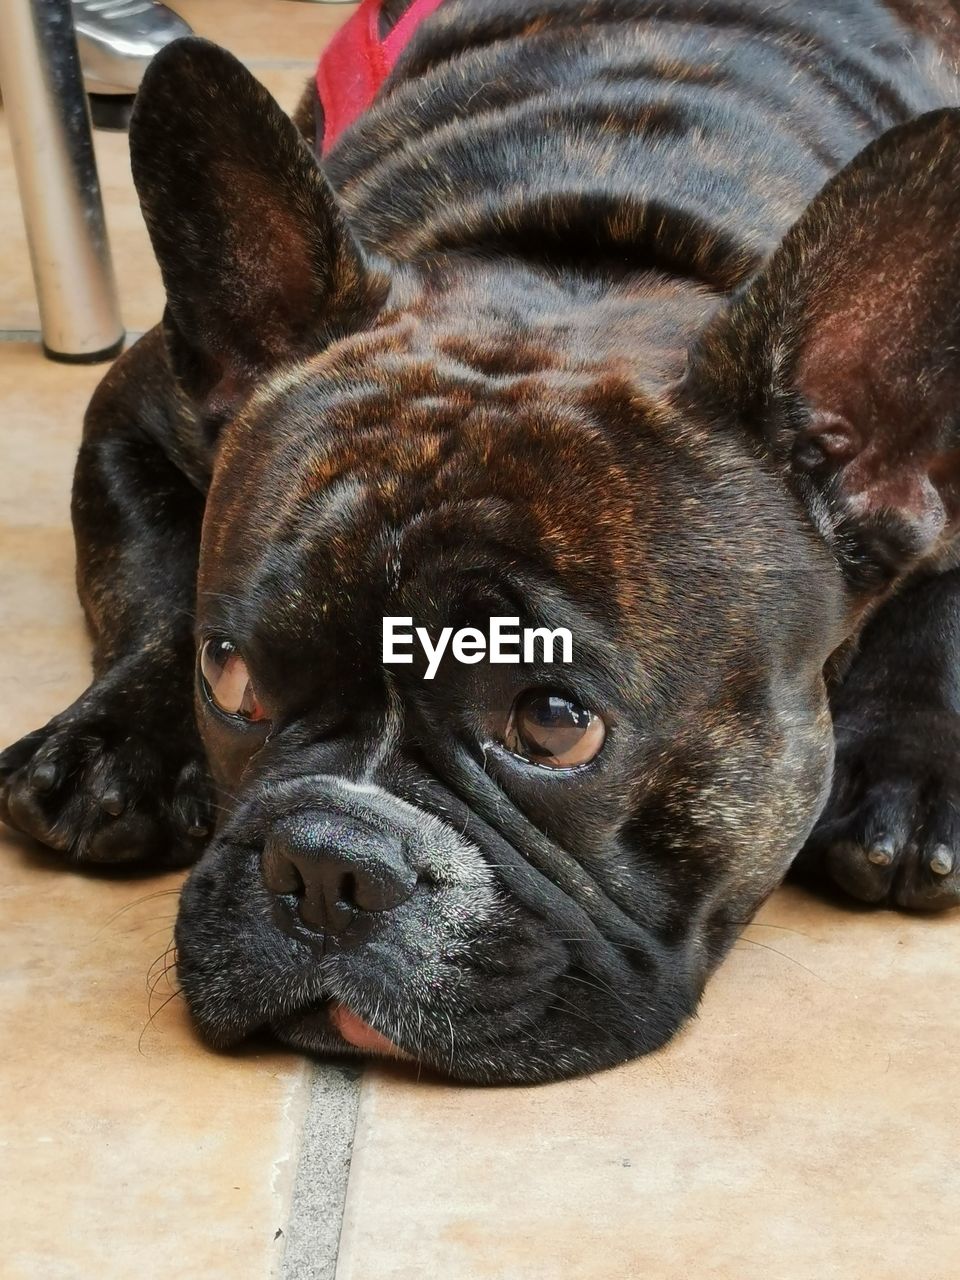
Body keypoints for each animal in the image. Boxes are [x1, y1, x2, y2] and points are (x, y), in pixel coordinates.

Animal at [1, 0, 960, 1085]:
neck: (599, 239)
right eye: (230, 676)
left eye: (554, 721)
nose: (327, 862)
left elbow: (938, 596)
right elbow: (148, 586)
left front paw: (906, 768)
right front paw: (112, 742)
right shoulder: (134, 408)